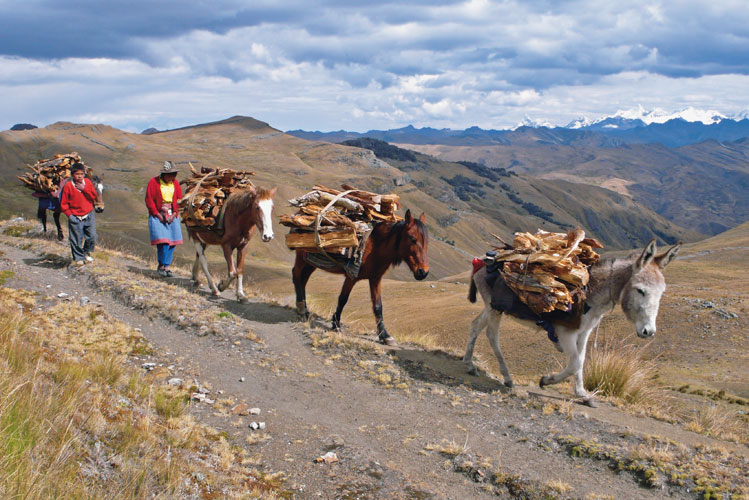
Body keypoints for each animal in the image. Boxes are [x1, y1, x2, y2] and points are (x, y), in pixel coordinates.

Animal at [294, 209, 430, 346]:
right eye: (412, 238)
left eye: (427, 242)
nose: (423, 272)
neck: (375, 246)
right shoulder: (351, 276)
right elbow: (343, 299)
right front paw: (336, 324)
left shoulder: (375, 279)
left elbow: (378, 306)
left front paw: (385, 335)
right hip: (301, 257)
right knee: (296, 276)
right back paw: (302, 311)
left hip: (310, 262)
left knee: (303, 280)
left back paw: (304, 309)